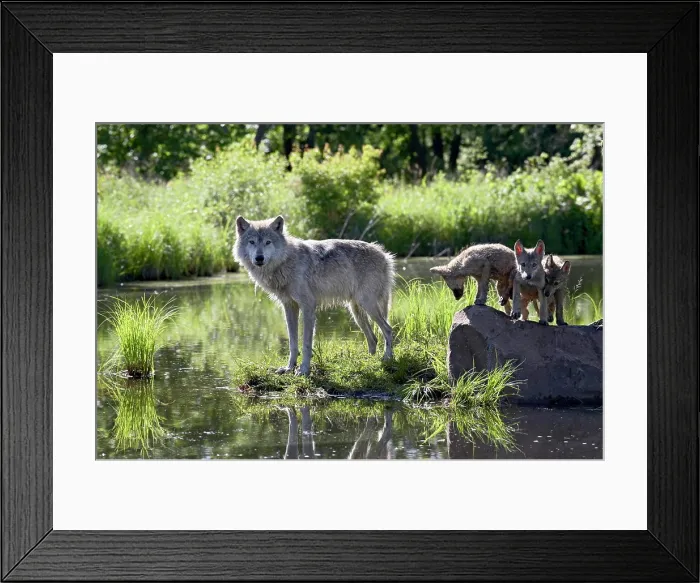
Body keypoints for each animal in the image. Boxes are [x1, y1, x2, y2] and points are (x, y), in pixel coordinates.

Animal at [234, 216, 395, 376]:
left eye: (268, 242)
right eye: (252, 242)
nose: (259, 258)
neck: (286, 262)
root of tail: (385, 255)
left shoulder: (308, 307)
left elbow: (306, 344)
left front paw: (304, 369)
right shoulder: (289, 307)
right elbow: (292, 343)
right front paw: (289, 368)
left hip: (367, 305)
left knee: (388, 329)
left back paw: (388, 357)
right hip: (356, 312)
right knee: (373, 338)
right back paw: (369, 360)